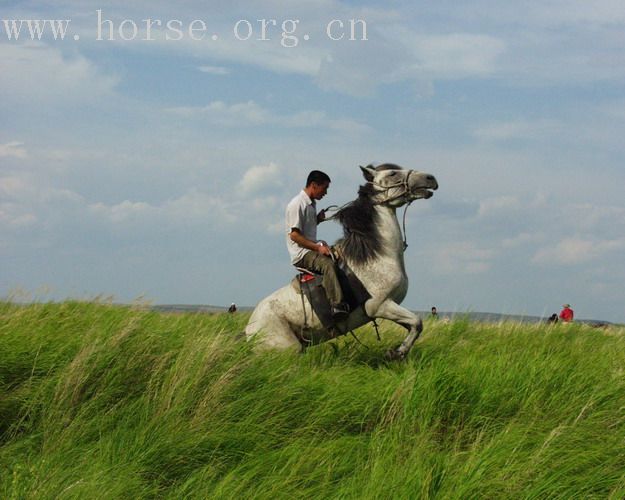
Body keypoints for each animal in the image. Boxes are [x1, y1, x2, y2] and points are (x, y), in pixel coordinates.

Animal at [244, 164, 438, 360]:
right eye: (392, 173)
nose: (431, 179)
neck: (378, 255)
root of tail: (249, 330)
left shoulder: (393, 307)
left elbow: (414, 326)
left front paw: (397, 352)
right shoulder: (380, 306)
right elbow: (417, 322)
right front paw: (397, 352)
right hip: (288, 348)